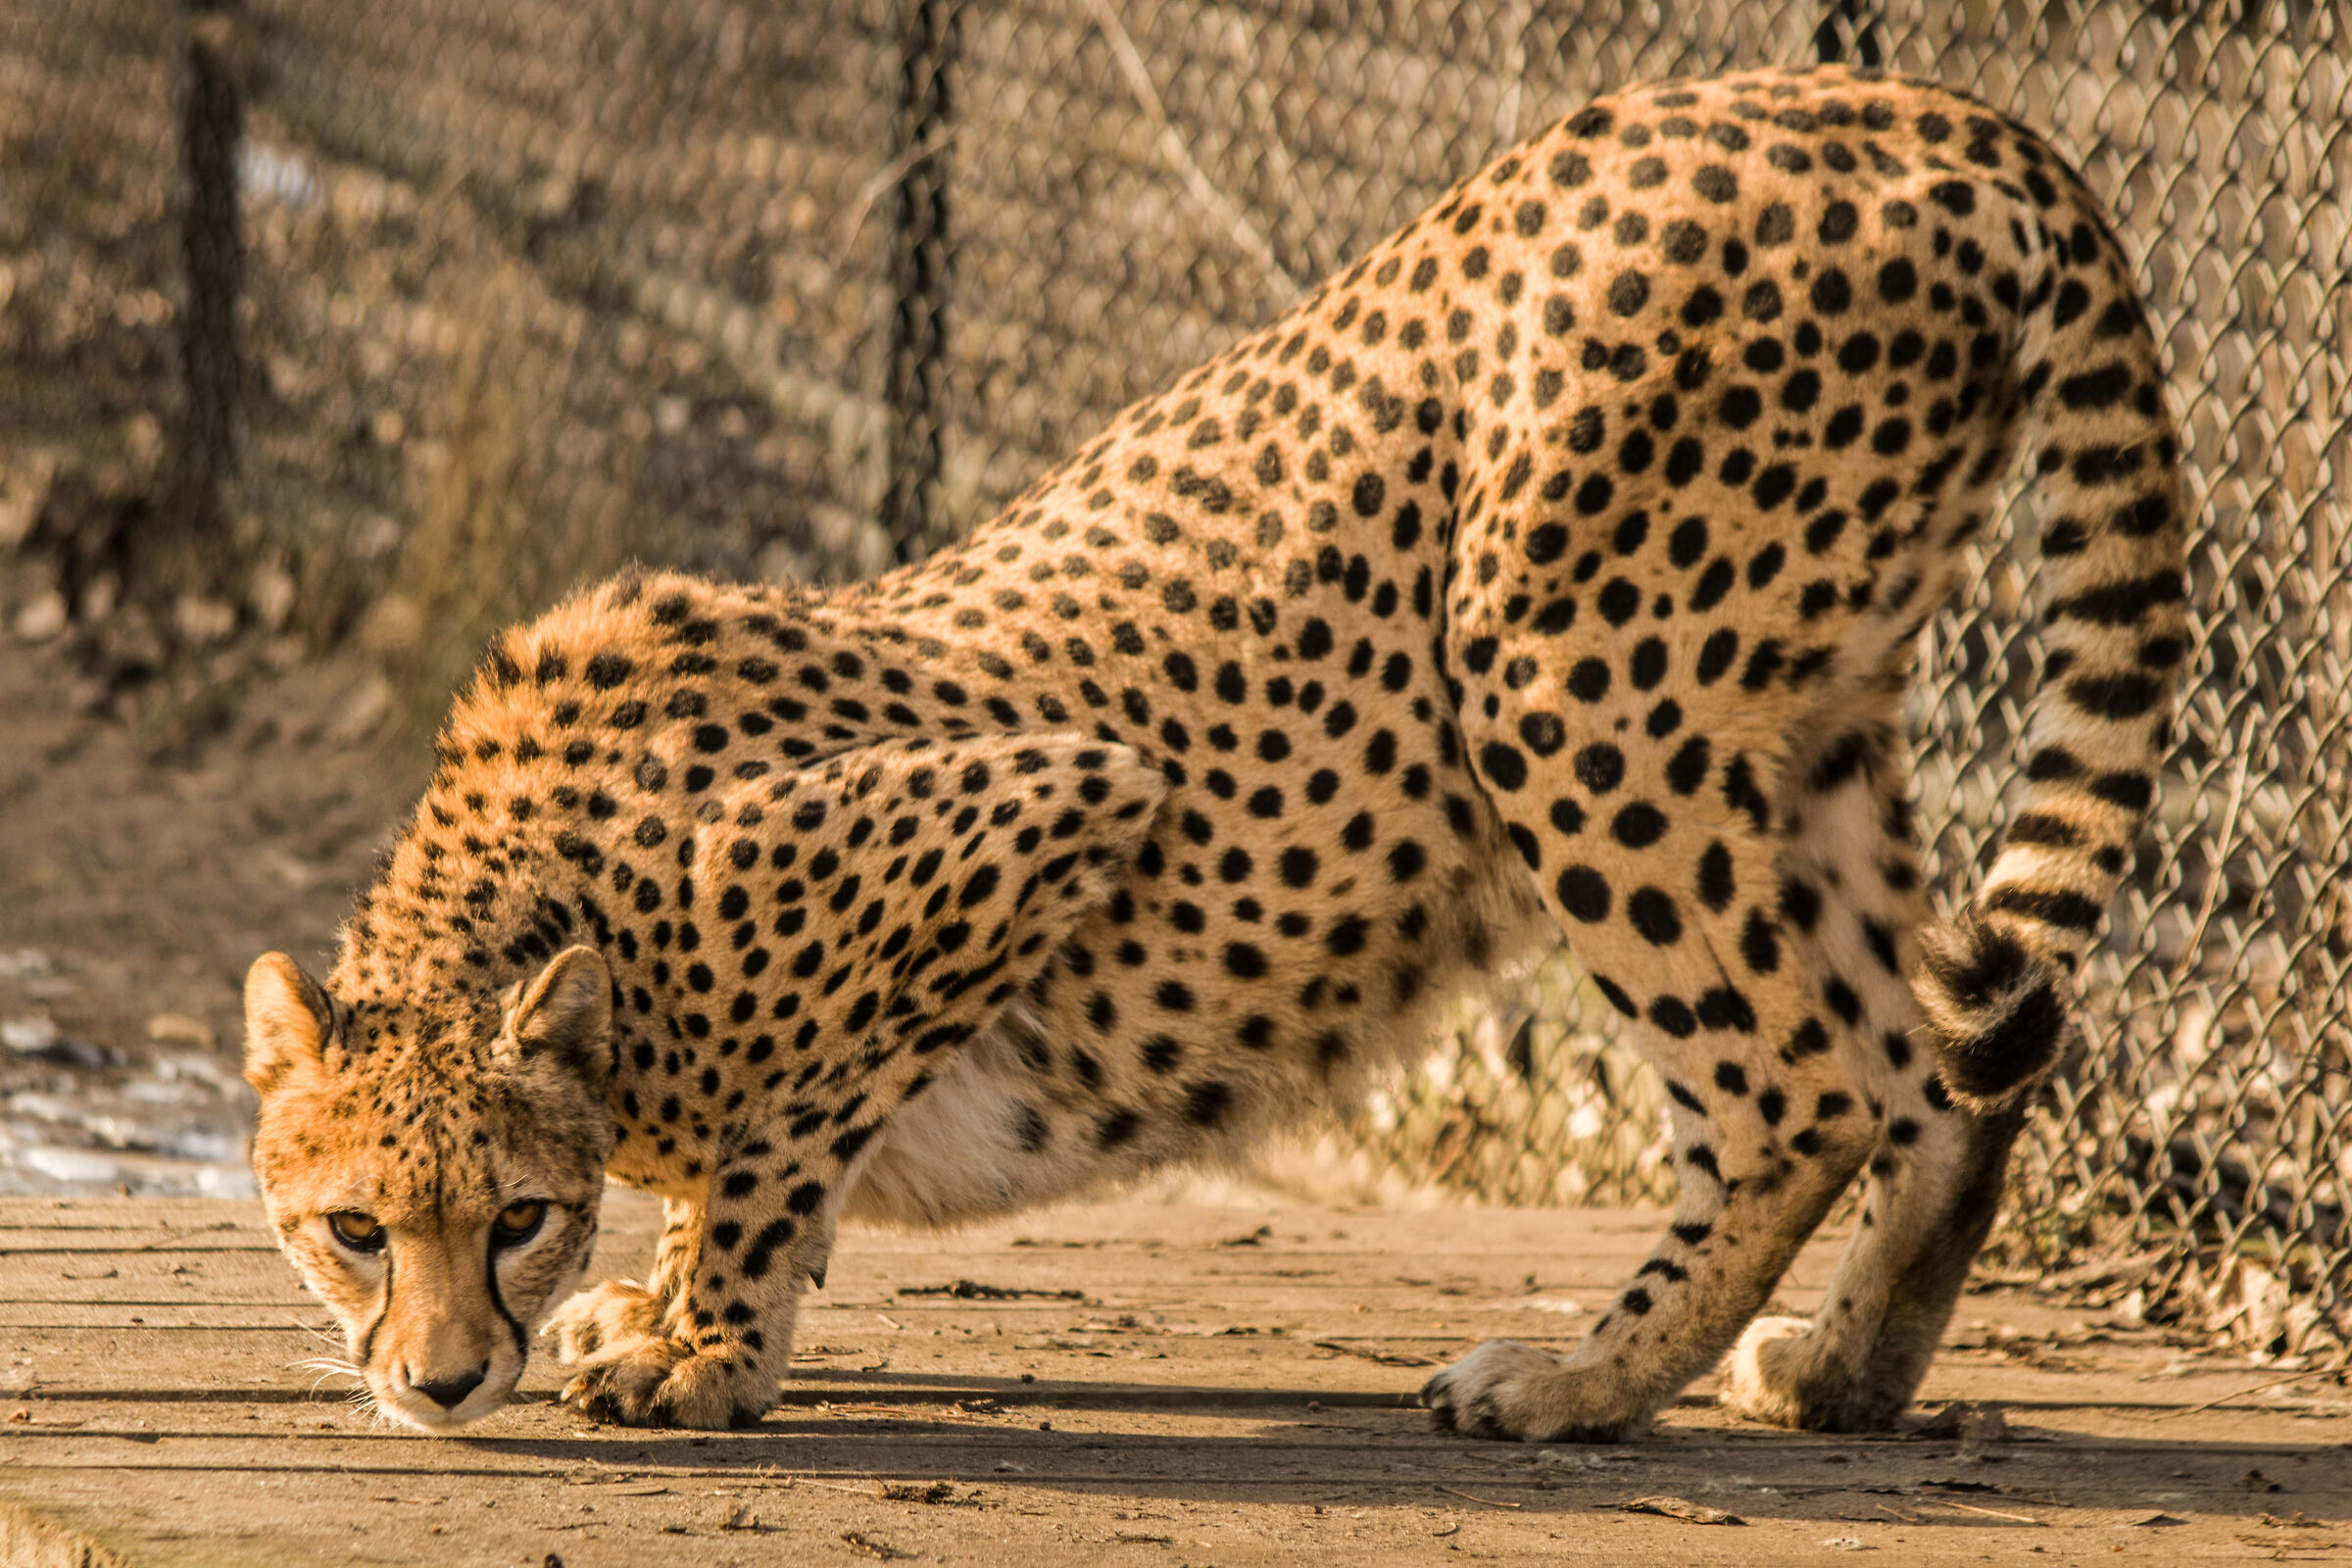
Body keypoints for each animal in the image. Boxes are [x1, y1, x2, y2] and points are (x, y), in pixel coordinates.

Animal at [243, 62, 2188, 1441]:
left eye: (506, 1215)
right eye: (356, 1227)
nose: (437, 1382)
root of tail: (1912, 106)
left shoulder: (1044, 804)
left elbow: (788, 1132)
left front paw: (701, 1347)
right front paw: (659, 1308)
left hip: (1568, 678)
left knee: (1801, 1086)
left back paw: (1569, 1386)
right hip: (1810, 722)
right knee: (1940, 1069)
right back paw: (1842, 1375)